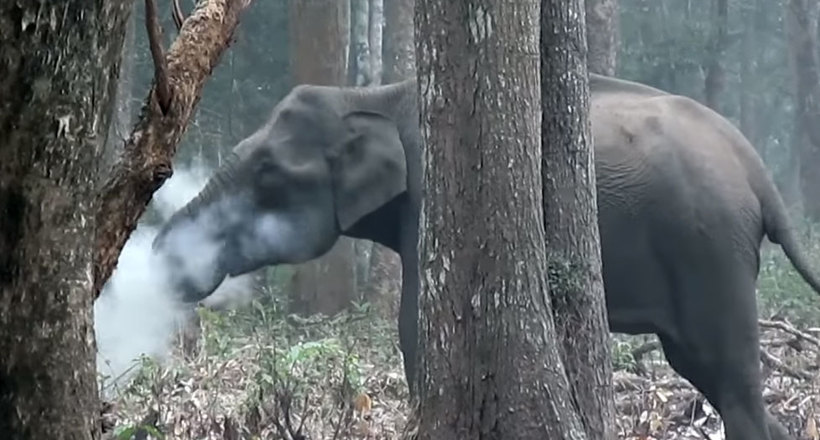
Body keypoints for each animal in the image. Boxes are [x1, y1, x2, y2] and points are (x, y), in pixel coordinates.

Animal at [152, 73, 820, 440]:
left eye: (267, 173)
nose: (156, 255)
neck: (375, 93)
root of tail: (758, 172)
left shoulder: (435, 191)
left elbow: (416, 325)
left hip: (710, 247)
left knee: (728, 375)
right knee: (703, 368)